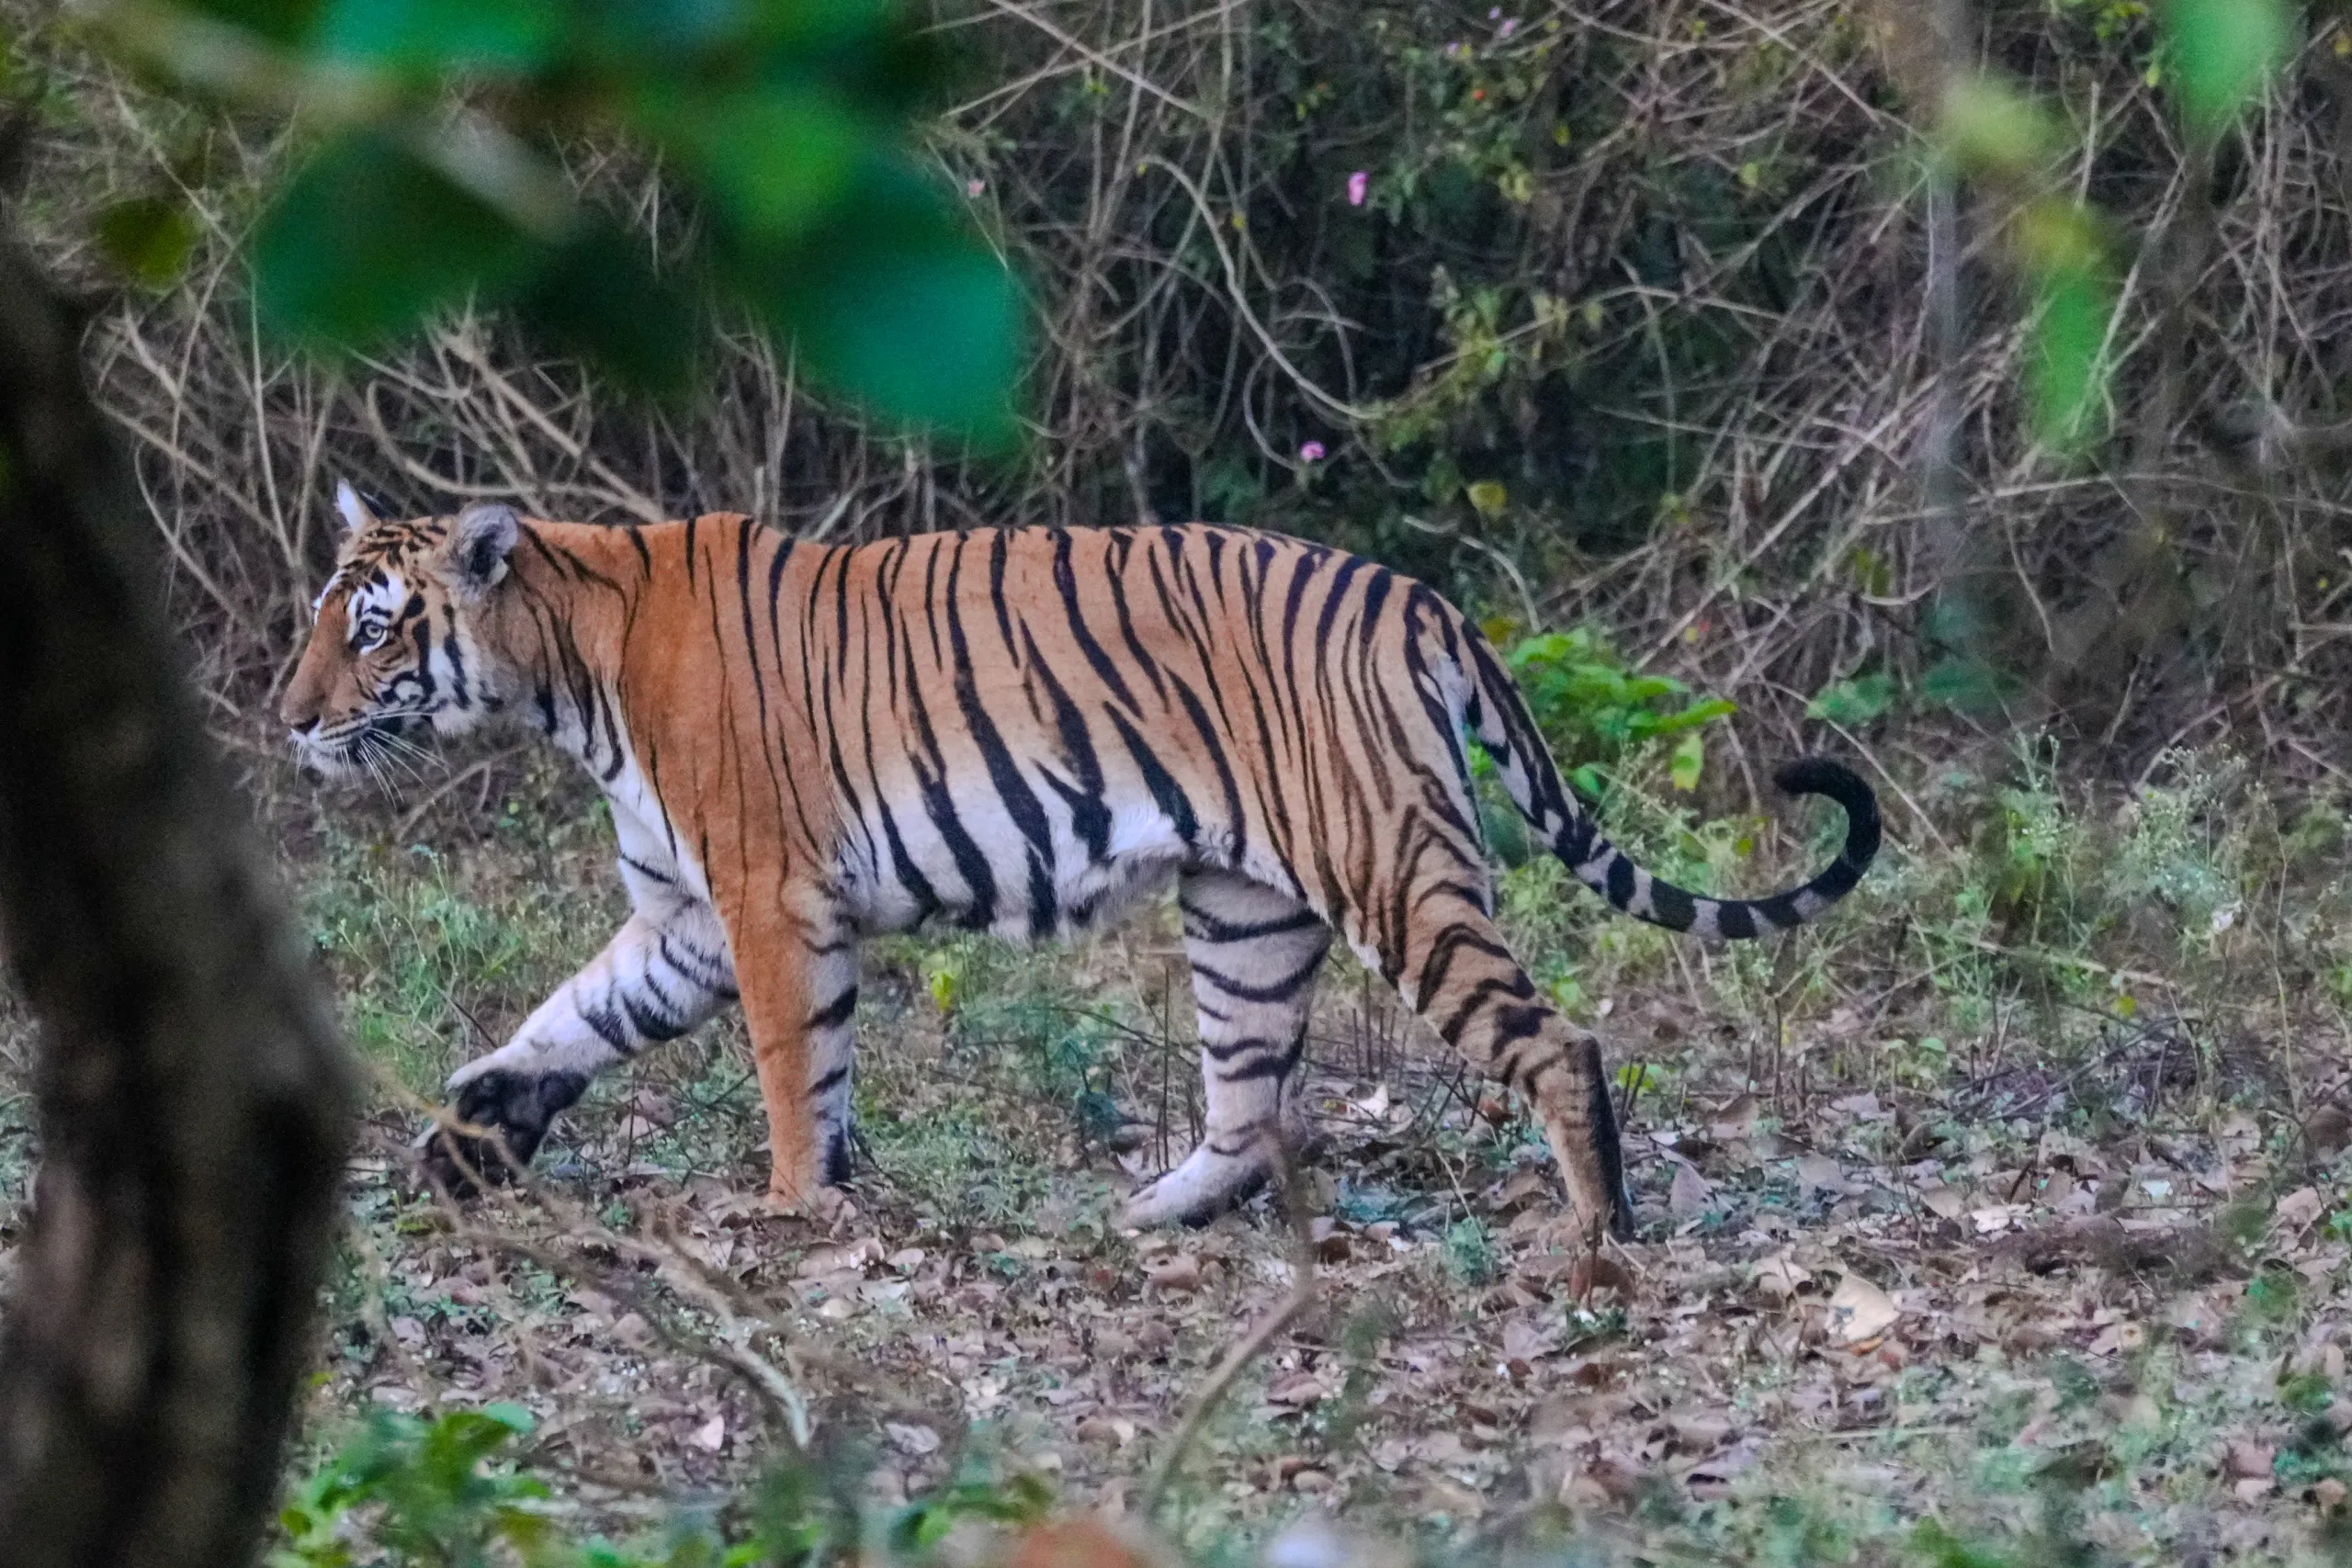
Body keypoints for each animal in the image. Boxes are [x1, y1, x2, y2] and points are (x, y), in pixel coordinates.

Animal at [280, 485, 1880, 1240]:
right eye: (323, 617)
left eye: (370, 624)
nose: (285, 715)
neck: (562, 669)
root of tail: (1419, 595)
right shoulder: (682, 915)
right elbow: (568, 1017)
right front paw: (473, 1131)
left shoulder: (763, 898)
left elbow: (794, 1069)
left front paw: (793, 1212)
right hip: (1249, 912)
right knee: (1249, 1105)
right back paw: (1141, 1212)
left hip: (1395, 867)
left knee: (1555, 1040)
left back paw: (1593, 1239)